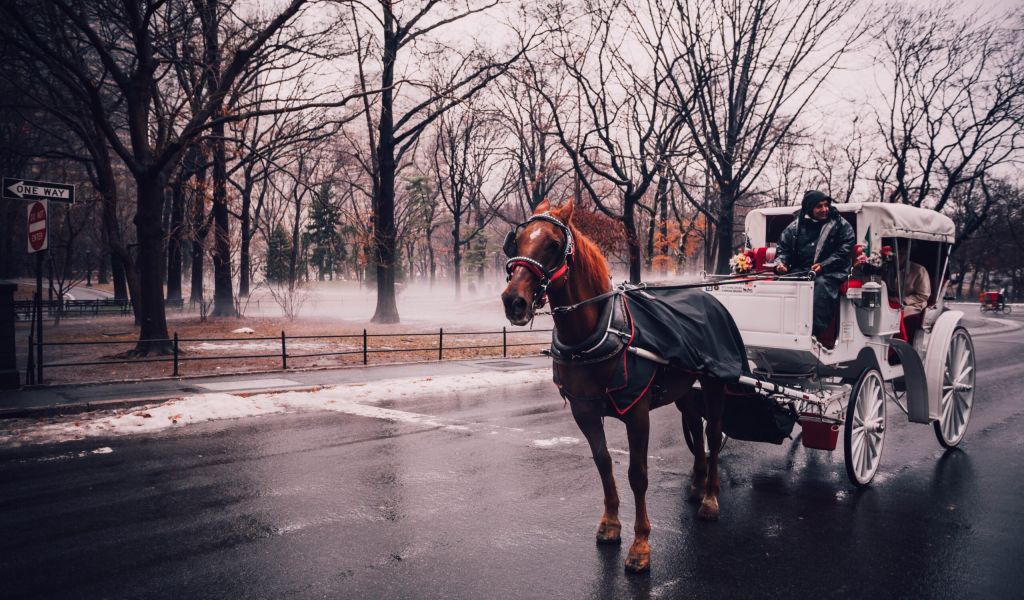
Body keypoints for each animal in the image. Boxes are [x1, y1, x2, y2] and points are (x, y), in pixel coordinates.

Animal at [501, 198, 729, 573]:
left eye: (553, 244)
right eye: (516, 241)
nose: (513, 301)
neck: (597, 332)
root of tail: (707, 297)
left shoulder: (637, 413)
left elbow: (638, 474)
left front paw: (641, 545)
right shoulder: (585, 411)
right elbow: (603, 462)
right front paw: (610, 524)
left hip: (715, 382)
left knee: (712, 432)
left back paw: (710, 498)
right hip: (683, 388)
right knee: (695, 424)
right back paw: (697, 484)